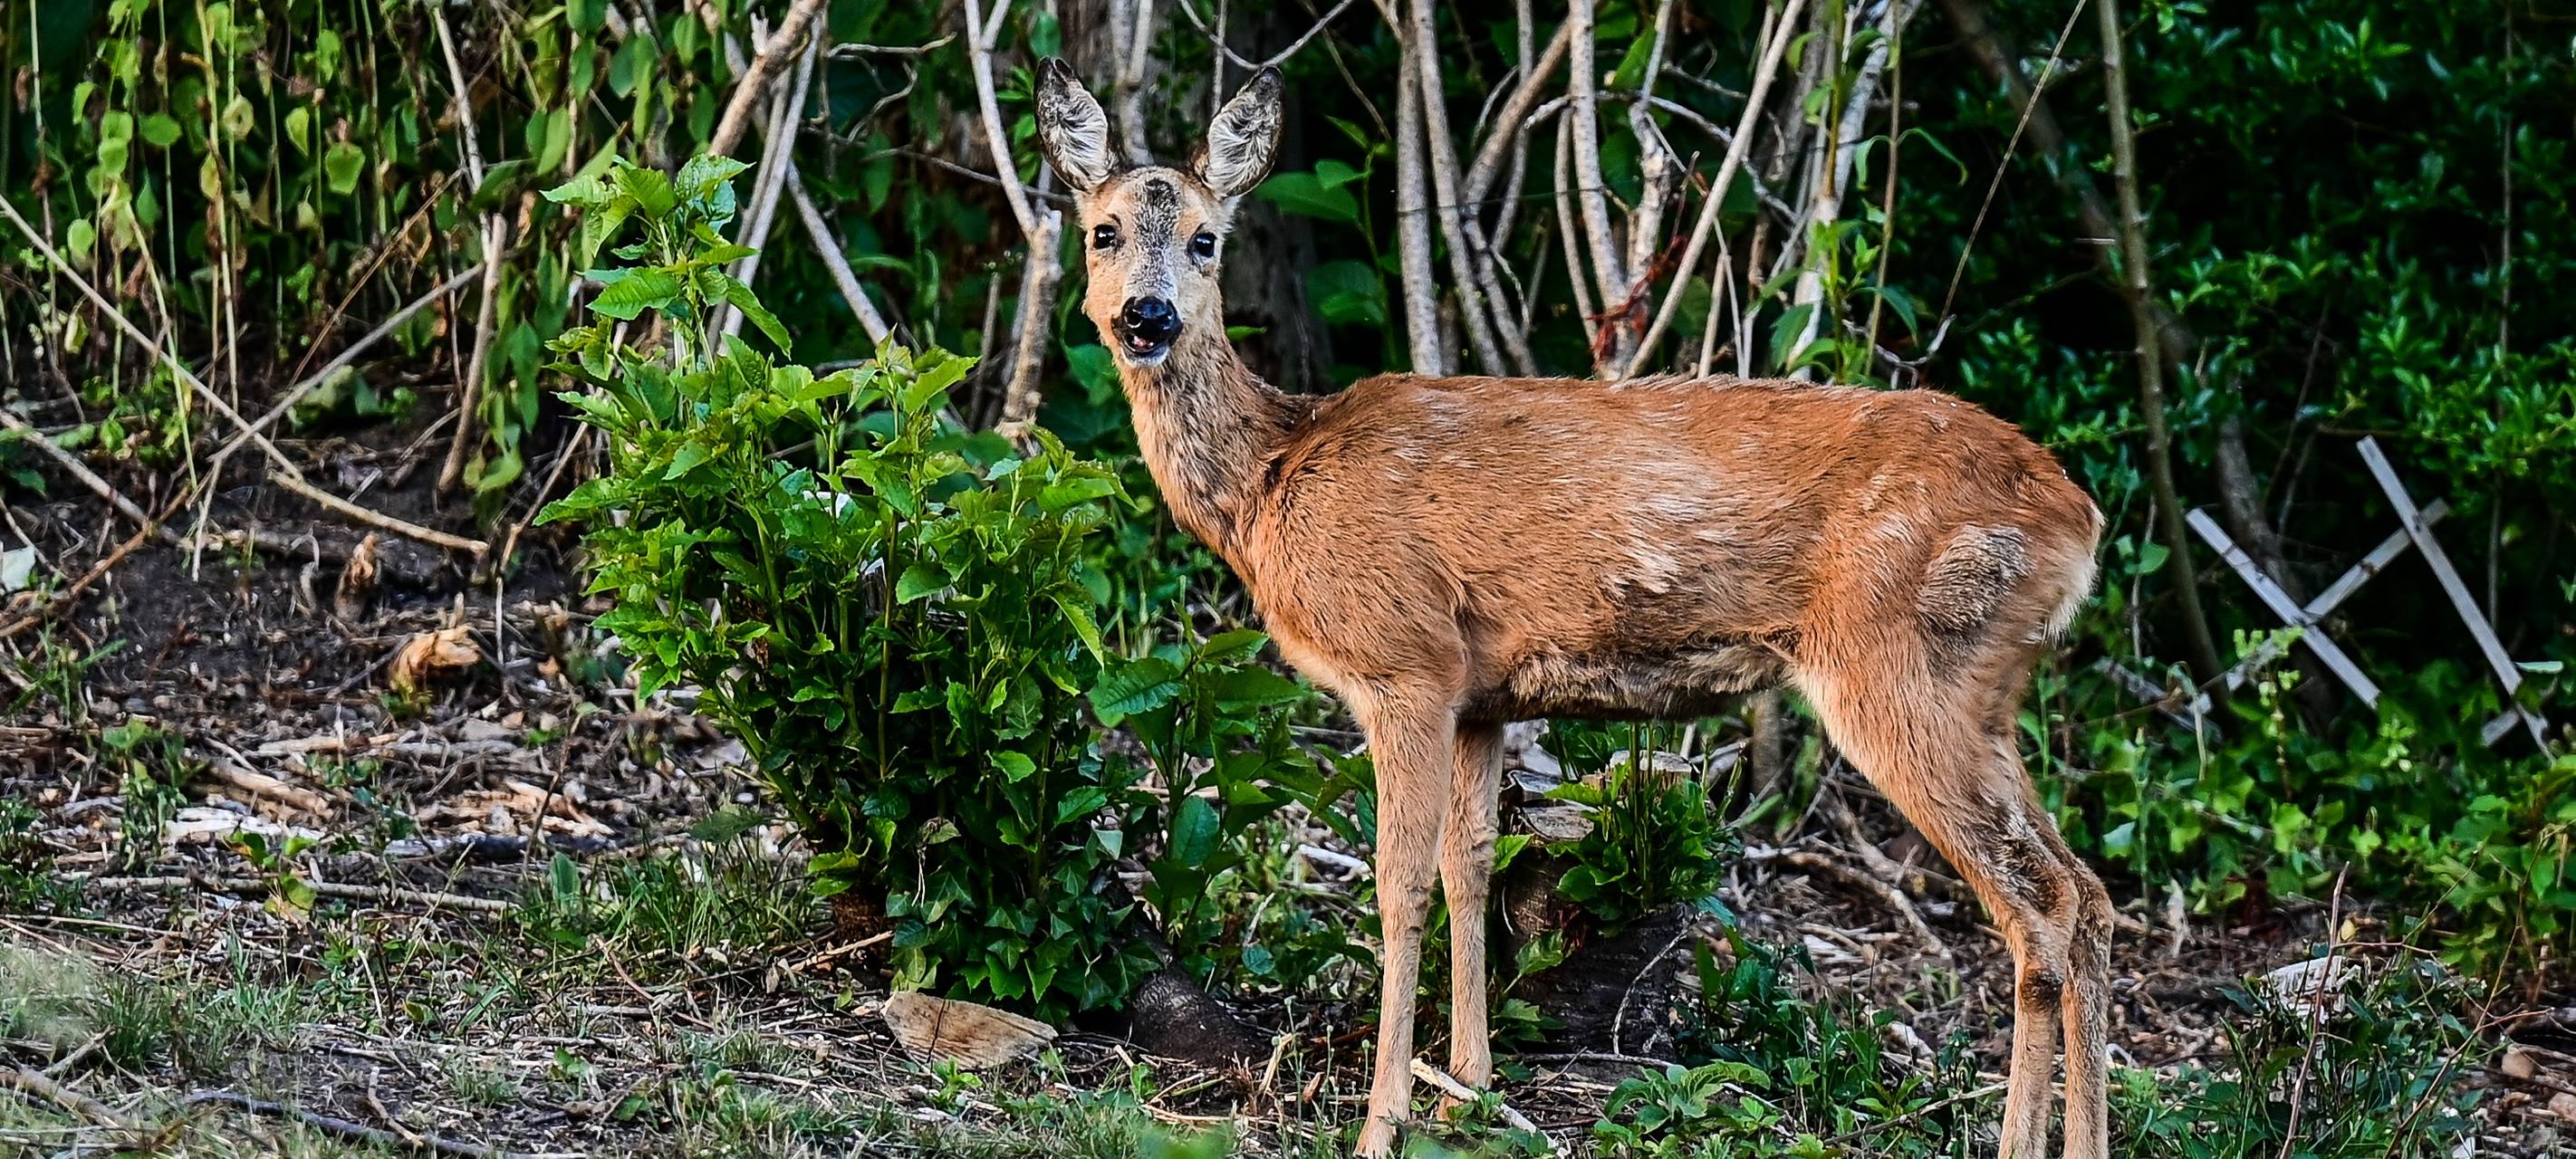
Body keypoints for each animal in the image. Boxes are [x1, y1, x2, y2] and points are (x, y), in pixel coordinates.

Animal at [1030, 58, 2114, 1159]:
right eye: (1101, 231)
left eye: (1207, 238)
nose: (1148, 319)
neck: (1269, 481)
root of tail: (2080, 519)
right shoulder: (1479, 696)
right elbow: (1470, 867)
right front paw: (1467, 1084)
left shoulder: (1404, 663)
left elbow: (1397, 883)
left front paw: (1383, 1119)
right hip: (1983, 686)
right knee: (2090, 892)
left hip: (1898, 665)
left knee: (2039, 902)